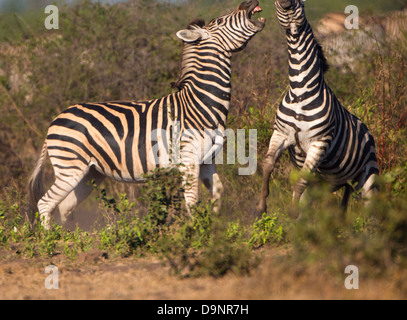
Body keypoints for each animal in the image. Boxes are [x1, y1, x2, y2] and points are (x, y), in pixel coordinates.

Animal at [27, 0, 266, 230]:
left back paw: (74, 238)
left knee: (64, 206)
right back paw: (51, 240)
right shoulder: (189, 160)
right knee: (45, 203)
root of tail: (55, 120)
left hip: (89, 173)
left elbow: (218, 192)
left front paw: (213, 228)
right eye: (219, 21)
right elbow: (192, 201)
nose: (248, 2)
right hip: (70, 166)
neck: (200, 103)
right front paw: (195, 232)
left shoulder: (207, 160)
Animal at [256, 0, 380, 216]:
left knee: (372, 212)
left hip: (368, 179)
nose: (285, 2)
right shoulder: (280, 133)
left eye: (298, 3)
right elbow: (268, 164)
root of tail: (367, 130)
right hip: (330, 182)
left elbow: (299, 182)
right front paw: (261, 206)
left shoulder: (319, 142)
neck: (300, 91)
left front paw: (292, 212)